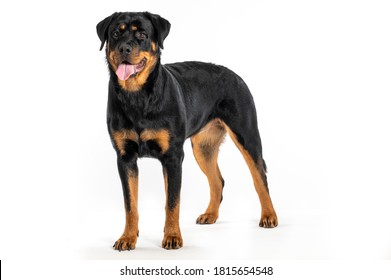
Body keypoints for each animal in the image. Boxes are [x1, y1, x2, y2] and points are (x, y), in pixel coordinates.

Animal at [96, 12, 278, 250]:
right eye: (116, 33)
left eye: (142, 34)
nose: (124, 48)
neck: (137, 97)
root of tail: (235, 75)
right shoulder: (125, 158)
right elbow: (130, 204)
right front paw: (127, 238)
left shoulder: (173, 156)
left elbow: (172, 202)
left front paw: (173, 237)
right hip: (203, 148)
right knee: (217, 181)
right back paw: (210, 215)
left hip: (246, 135)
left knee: (260, 177)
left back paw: (269, 216)